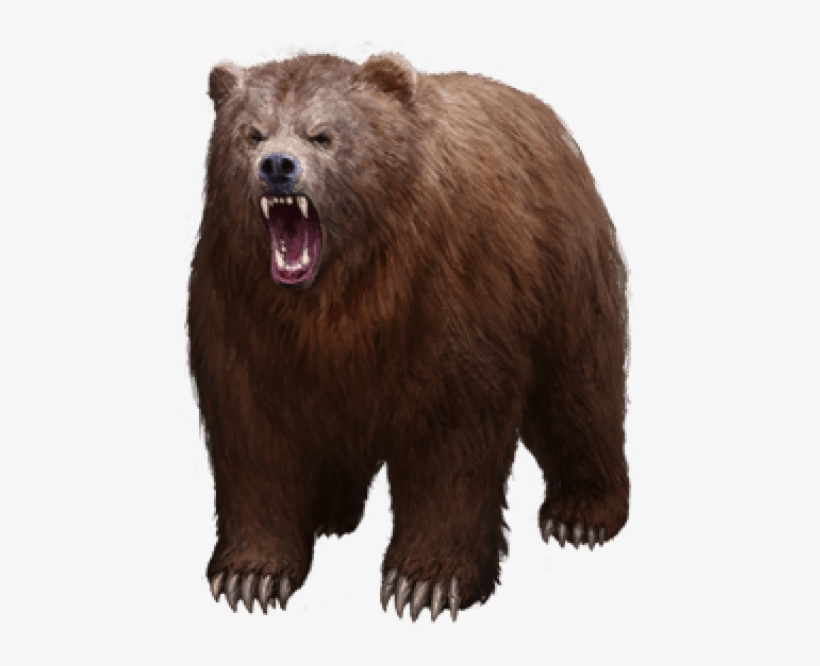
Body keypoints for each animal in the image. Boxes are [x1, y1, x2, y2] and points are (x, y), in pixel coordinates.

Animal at [187, 52, 630, 622]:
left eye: (323, 134)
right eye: (252, 133)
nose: (277, 166)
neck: (338, 296)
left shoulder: (449, 298)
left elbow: (452, 440)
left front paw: (425, 582)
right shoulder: (243, 315)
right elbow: (253, 435)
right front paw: (251, 576)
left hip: (565, 272)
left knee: (578, 388)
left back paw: (581, 514)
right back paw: (329, 510)